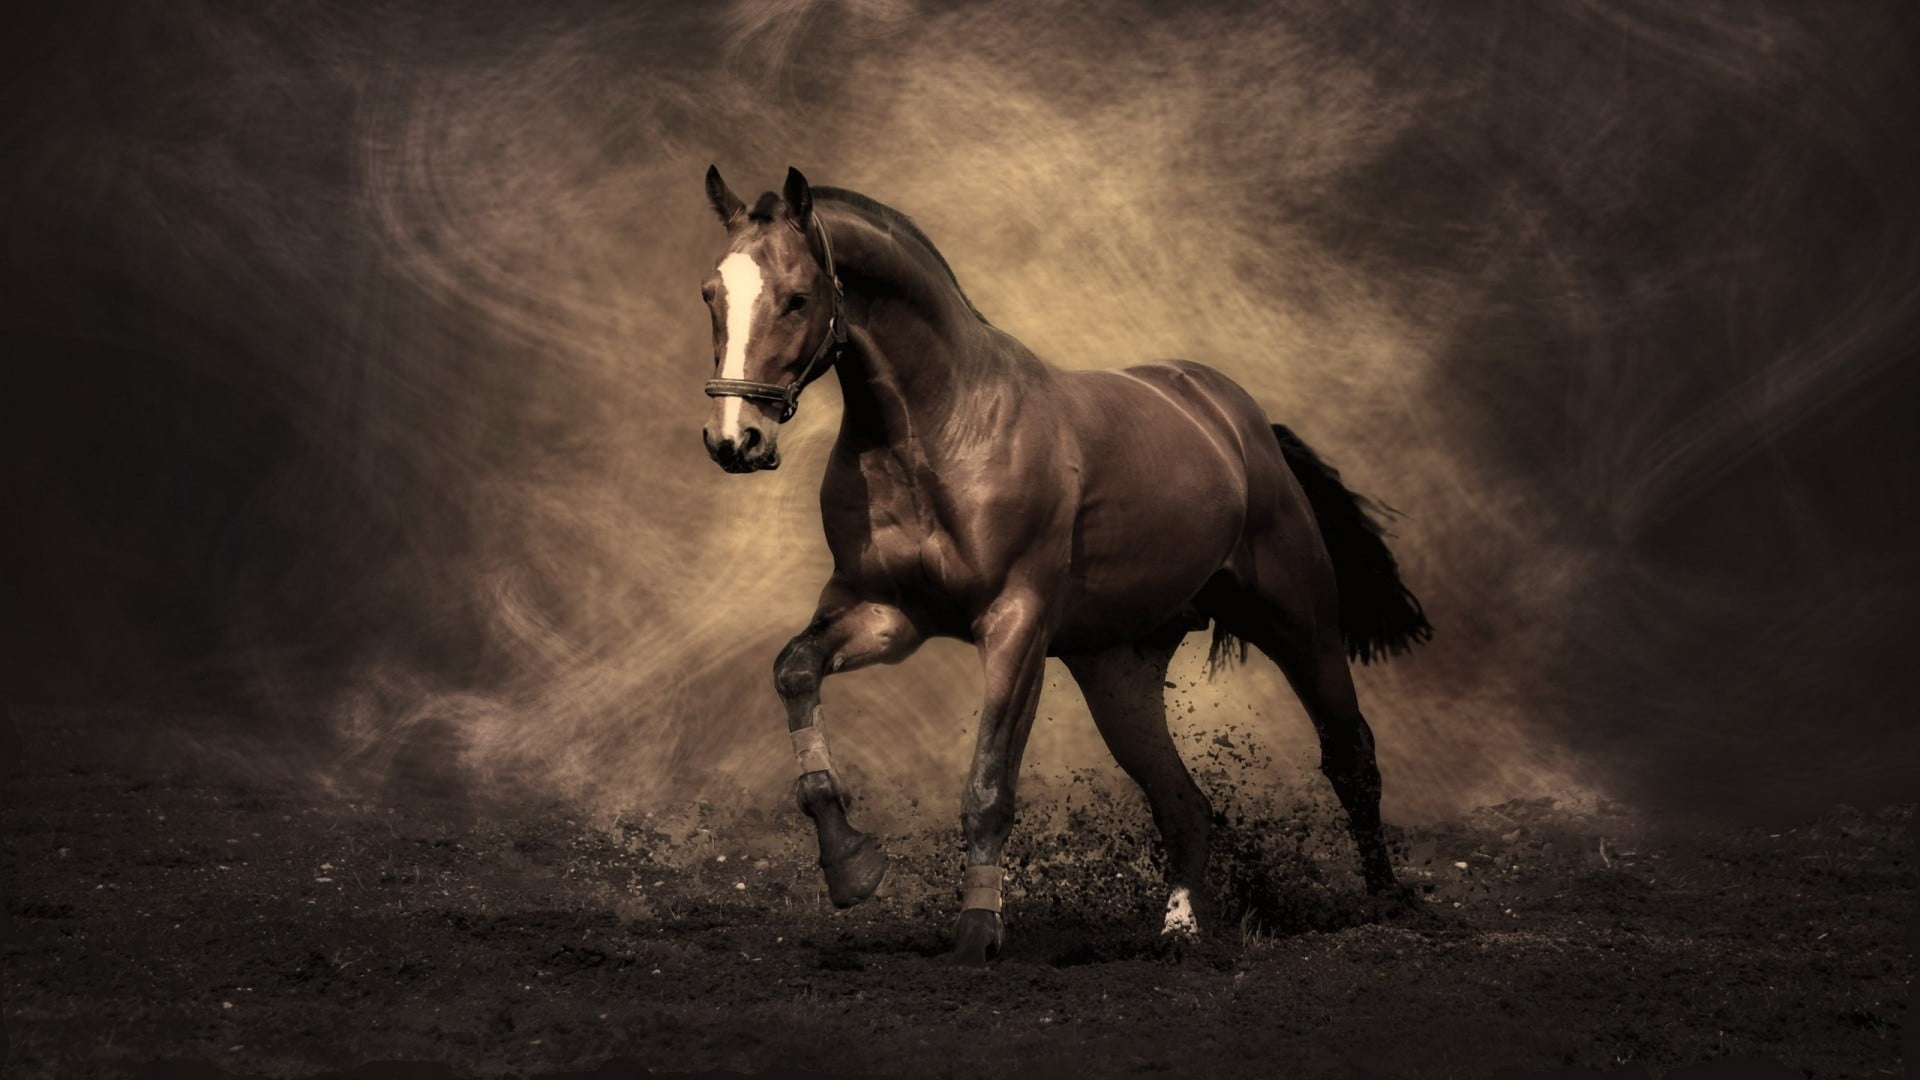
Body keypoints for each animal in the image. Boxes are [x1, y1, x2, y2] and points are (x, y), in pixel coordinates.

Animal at [695, 166, 1432, 964]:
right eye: (711, 294)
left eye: (798, 297)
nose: (734, 440)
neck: (938, 431)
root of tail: (1240, 422)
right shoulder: (886, 614)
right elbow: (795, 671)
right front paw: (851, 868)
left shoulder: (1015, 625)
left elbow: (989, 786)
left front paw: (977, 933)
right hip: (1118, 672)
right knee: (1183, 803)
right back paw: (1180, 931)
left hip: (1299, 622)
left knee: (1350, 755)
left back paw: (1387, 903)